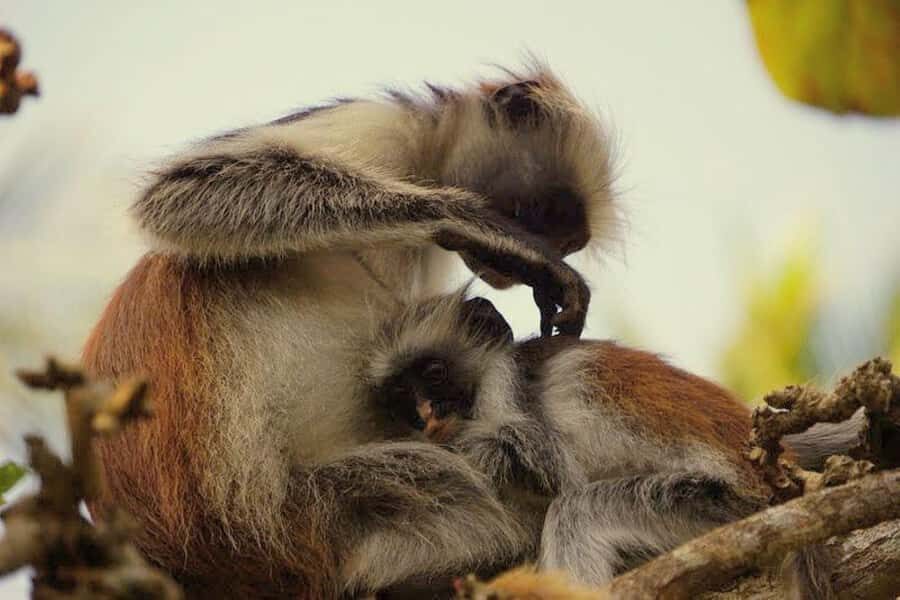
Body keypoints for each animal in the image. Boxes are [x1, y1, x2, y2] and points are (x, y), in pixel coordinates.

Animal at [82, 63, 619, 598]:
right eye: (539, 217)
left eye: (566, 240)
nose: (506, 272)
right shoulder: (384, 125)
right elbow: (181, 190)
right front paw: (481, 226)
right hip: (261, 501)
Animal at [367, 292, 845, 597]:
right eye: (403, 394)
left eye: (434, 374)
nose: (427, 413)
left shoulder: (504, 387)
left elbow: (553, 471)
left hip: (723, 508)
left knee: (578, 511)